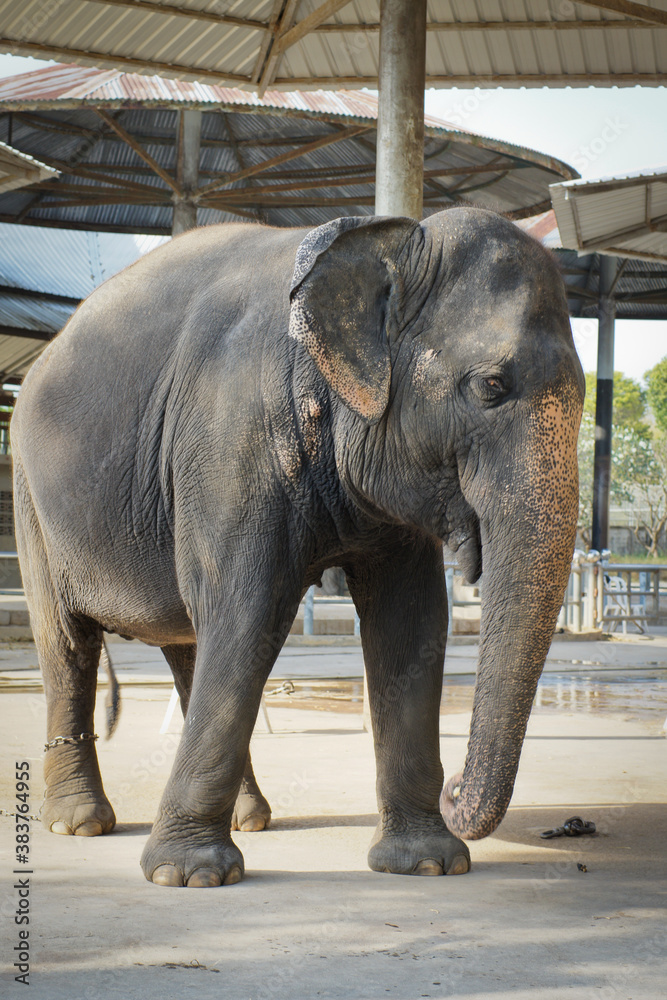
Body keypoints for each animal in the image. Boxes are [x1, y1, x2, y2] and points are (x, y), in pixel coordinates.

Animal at [12, 207, 583, 888]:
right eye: (492, 385)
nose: (455, 792)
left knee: (187, 639)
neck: (388, 239)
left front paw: (425, 864)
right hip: (30, 500)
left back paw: (248, 818)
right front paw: (190, 876)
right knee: (69, 645)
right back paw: (80, 824)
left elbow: (412, 622)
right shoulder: (233, 437)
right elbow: (248, 610)